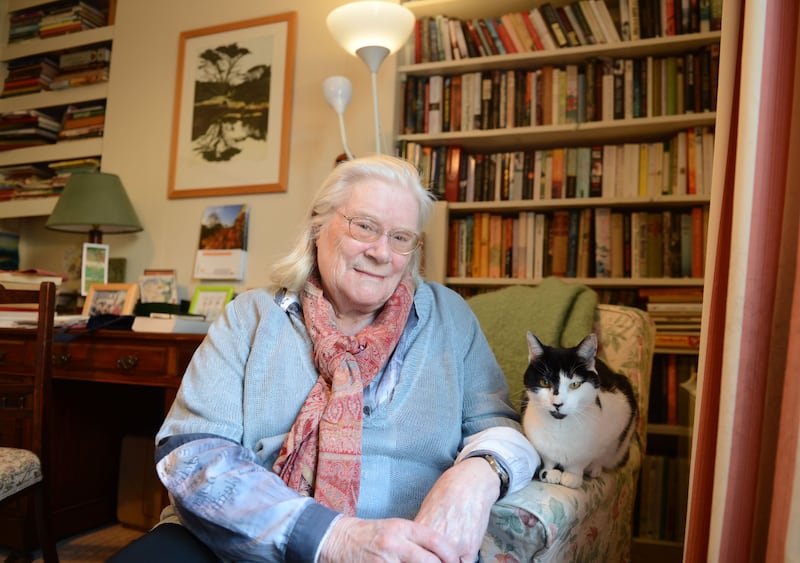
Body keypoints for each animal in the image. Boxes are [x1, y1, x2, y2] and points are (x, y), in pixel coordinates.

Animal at [520, 330, 640, 490]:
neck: (560, 429)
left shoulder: (621, 413)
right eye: (544, 382)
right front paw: (549, 472)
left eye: (575, 384)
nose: (557, 404)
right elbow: (548, 458)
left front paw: (573, 475)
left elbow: (589, 457)